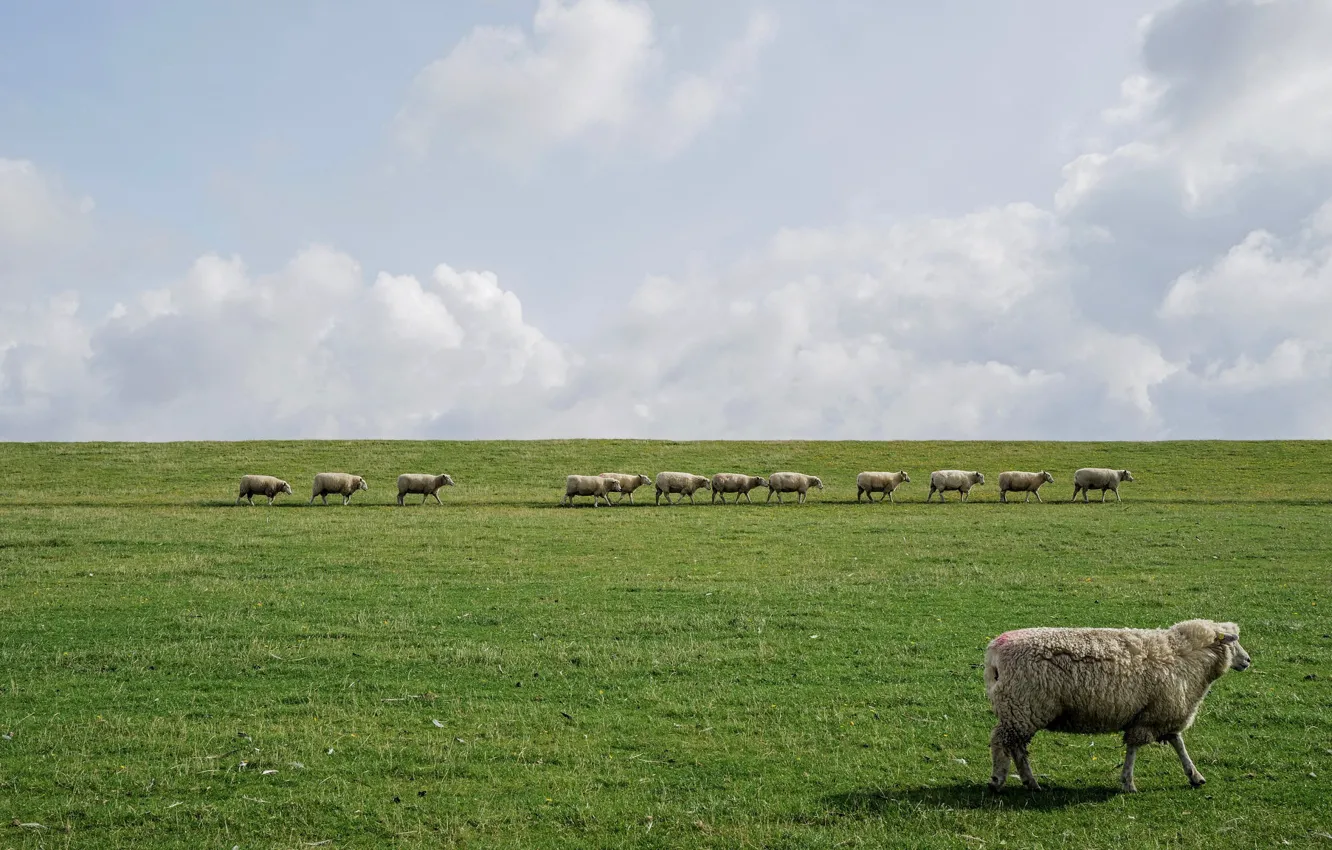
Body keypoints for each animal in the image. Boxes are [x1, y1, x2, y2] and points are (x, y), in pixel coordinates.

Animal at [984, 619, 1251, 793]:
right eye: (1233, 643)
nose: (1248, 660)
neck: (1185, 656)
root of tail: (995, 650)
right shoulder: (1153, 715)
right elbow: (1135, 747)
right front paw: (1128, 783)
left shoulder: (1162, 713)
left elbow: (1178, 743)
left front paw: (1195, 775)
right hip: (1022, 707)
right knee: (1002, 741)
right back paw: (999, 779)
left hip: (1019, 710)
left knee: (1016, 746)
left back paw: (1030, 782)